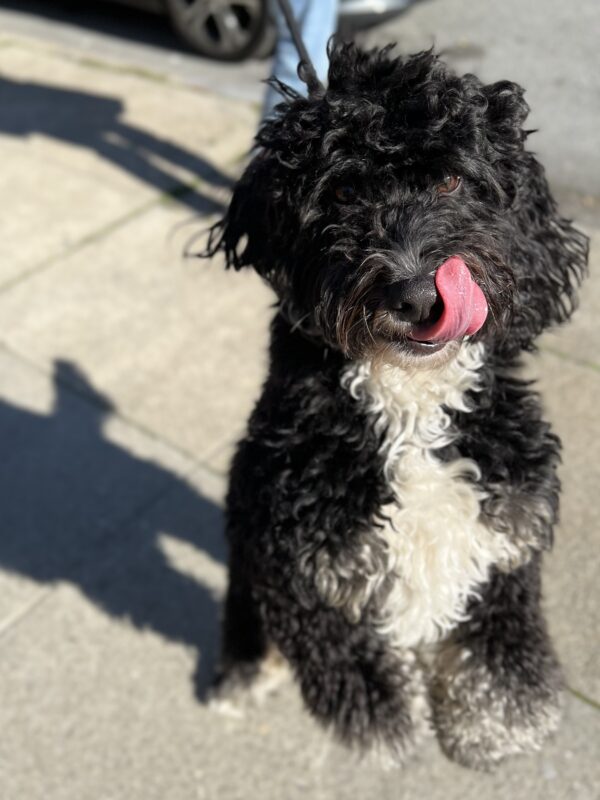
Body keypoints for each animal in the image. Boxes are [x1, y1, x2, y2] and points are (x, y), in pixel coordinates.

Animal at [204, 43, 588, 768]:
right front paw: (382, 722)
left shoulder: (508, 517)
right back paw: (243, 670)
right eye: (341, 192)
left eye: (452, 182)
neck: (409, 403)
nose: (416, 295)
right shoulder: (298, 549)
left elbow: (500, 637)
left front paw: (502, 720)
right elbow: (343, 652)